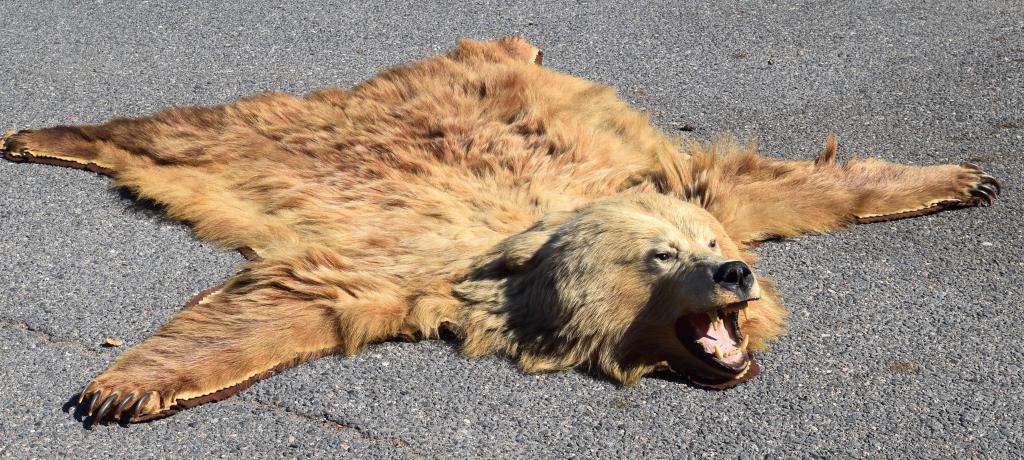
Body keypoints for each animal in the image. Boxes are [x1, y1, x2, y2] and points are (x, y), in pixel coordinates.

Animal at [1, 36, 1000, 424]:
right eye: (663, 255)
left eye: (712, 247)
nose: (736, 277)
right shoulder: (408, 271)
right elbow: (293, 304)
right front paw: (125, 385)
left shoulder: (688, 185)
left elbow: (792, 186)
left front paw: (957, 176)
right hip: (263, 137)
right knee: (178, 131)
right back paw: (43, 134)